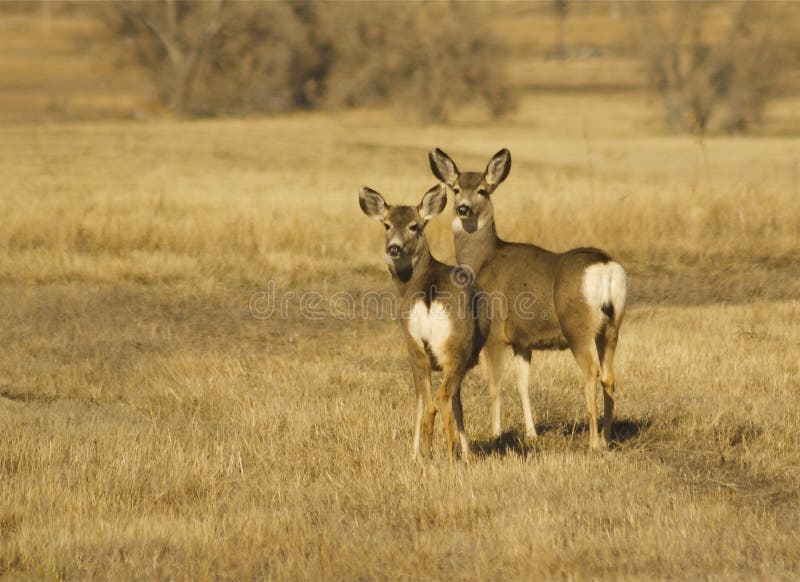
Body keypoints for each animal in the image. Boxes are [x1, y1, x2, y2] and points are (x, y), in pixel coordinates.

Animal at [360, 185, 490, 464]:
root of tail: (430, 294)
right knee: (444, 397)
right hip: (457, 348)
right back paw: (452, 457)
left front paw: (414, 453)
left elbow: (420, 400)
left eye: (414, 226)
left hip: (414, 346)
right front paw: (468, 453)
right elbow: (458, 404)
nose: (394, 248)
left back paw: (426, 455)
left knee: (427, 402)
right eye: (387, 225)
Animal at [428, 149, 628, 452]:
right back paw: (606, 438)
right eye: (456, 189)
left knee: (591, 372)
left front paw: (496, 433)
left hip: (577, 326)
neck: (483, 262)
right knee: (609, 375)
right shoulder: (522, 341)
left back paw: (593, 441)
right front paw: (531, 433)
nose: (463, 209)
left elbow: (495, 386)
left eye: (483, 190)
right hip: (612, 325)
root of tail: (605, 268)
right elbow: (523, 384)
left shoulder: (495, 334)